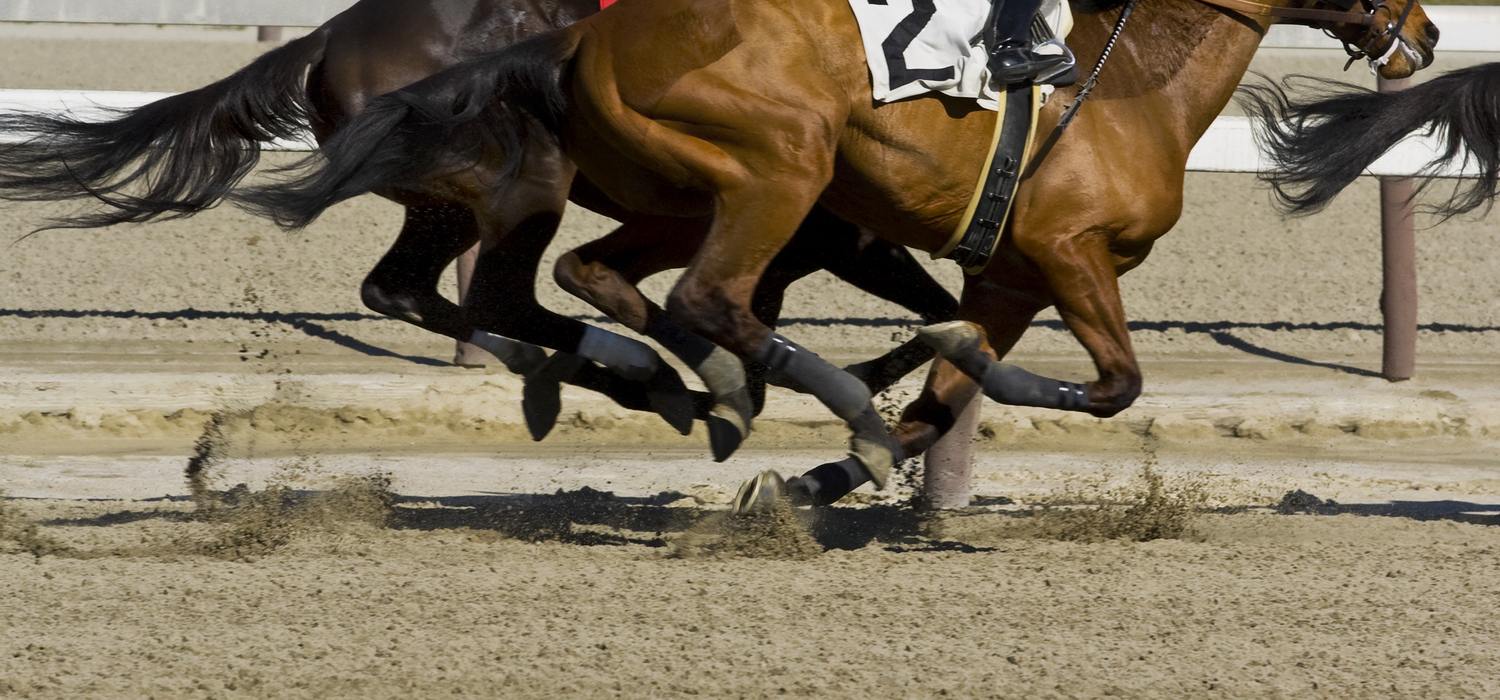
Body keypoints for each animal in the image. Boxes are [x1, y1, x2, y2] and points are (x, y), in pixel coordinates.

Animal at [0, 0, 960, 458]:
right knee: (494, 291)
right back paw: (623, 371)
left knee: (403, 288)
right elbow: (934, 307)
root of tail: (329, 37)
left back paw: (584, 370)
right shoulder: (832, 228)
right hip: (519, 173)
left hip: (448, 198)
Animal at [237, 0, 1440, 509]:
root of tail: (581, 35)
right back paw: (728, 386)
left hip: (675, 191)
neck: (1128, 76)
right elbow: (1109, 384)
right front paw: (868, 414)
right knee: (697, 298)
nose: (1427, 26)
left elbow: (942, 395)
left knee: (575, 280)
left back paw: (681, 386)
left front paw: (834, 465)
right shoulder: (1063, 251)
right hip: (776, 166)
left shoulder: (1007, 272)